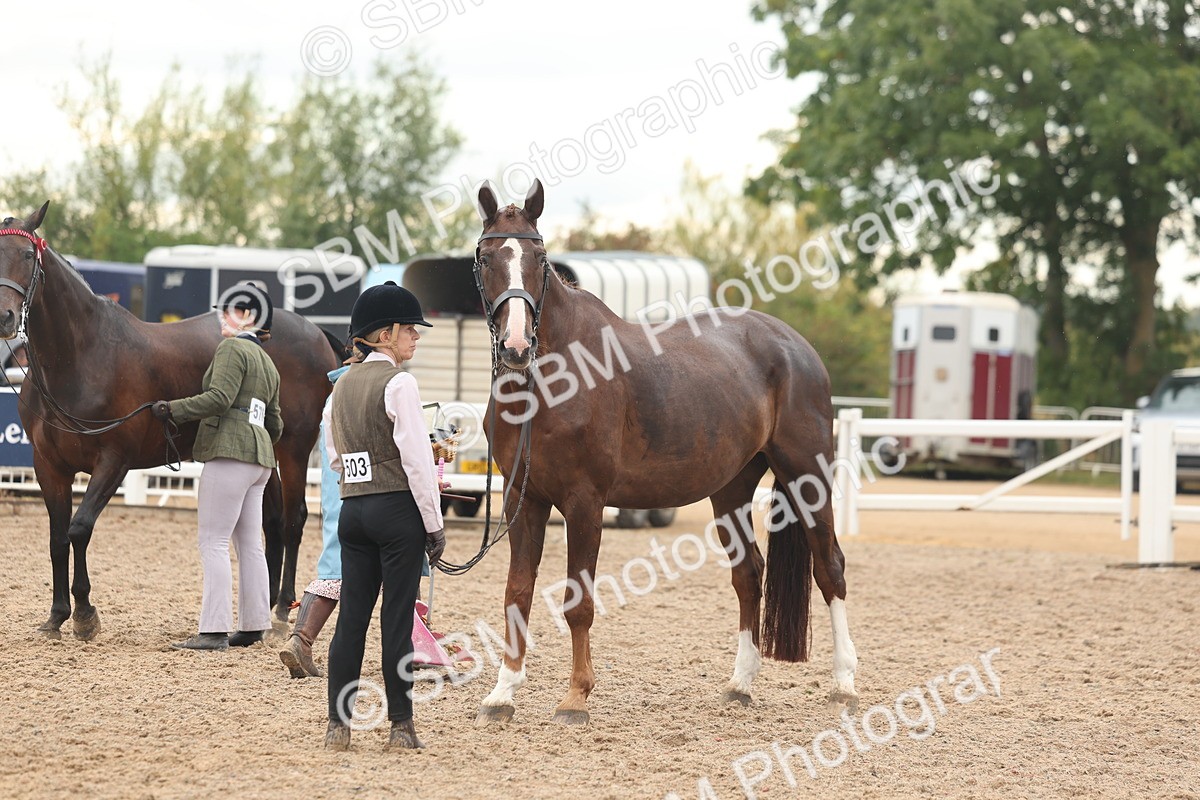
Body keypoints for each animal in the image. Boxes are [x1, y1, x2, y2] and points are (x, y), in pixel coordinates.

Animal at [0, 203, 339, 641]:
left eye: (27, 255)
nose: (5, 317)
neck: (82, 357)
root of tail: (316, 332)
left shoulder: (114, 461)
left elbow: (79, 528)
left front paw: (86, 614)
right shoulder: (48, 466)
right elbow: (58, 538)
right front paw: (56, 616)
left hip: (294, 447)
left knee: (295, 520)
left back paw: (282, 610)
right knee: (275, 522)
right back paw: (261, 613)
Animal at [468, 179, 859, 725]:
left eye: (540, 257)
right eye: (485, 257)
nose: (517, 346)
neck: (556, 377)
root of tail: (796, 347)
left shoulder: (585, 502)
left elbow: (578, 602)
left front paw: (575, 698)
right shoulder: (522, 500)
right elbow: (517, 593)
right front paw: (502, 694)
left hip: (808, 476)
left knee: (830, 568)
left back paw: (844, 682)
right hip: (732, 489)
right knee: (748, 575)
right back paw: (740, 684)